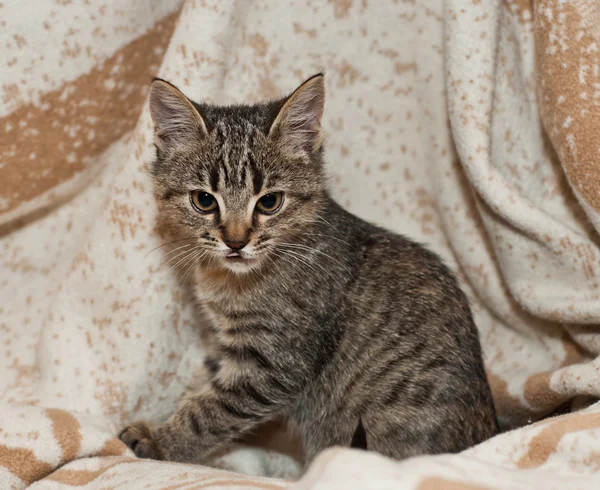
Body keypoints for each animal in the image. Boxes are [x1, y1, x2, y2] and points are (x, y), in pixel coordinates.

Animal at [118, 73, 496, 468]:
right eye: (204, 200)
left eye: (269, 202)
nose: (236, 242)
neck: (234, 280)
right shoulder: (226, 343)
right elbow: (199, 388)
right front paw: (162, 422)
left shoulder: (274, 363)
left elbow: (208, 412)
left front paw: (162, 442)